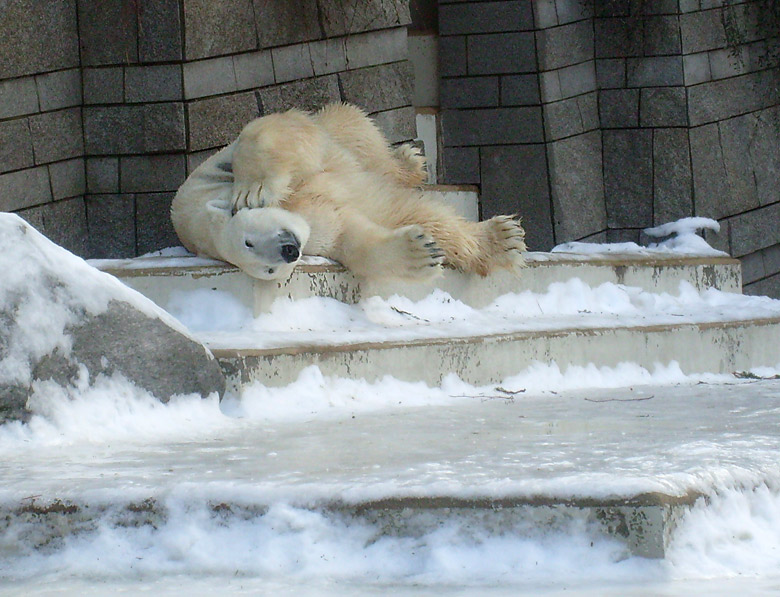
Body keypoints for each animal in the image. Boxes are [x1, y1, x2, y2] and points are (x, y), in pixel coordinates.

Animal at [170, 103, 524, 282]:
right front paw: (420, 252)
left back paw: (409, 161)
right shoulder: (314, 232)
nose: (289, 251)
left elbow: (266, 132)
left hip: (337, 134)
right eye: (268, 270)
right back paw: (503, 240)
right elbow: (349, 233)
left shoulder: (206, 178)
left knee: (356, 135)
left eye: (248, 240)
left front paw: (253, 190)